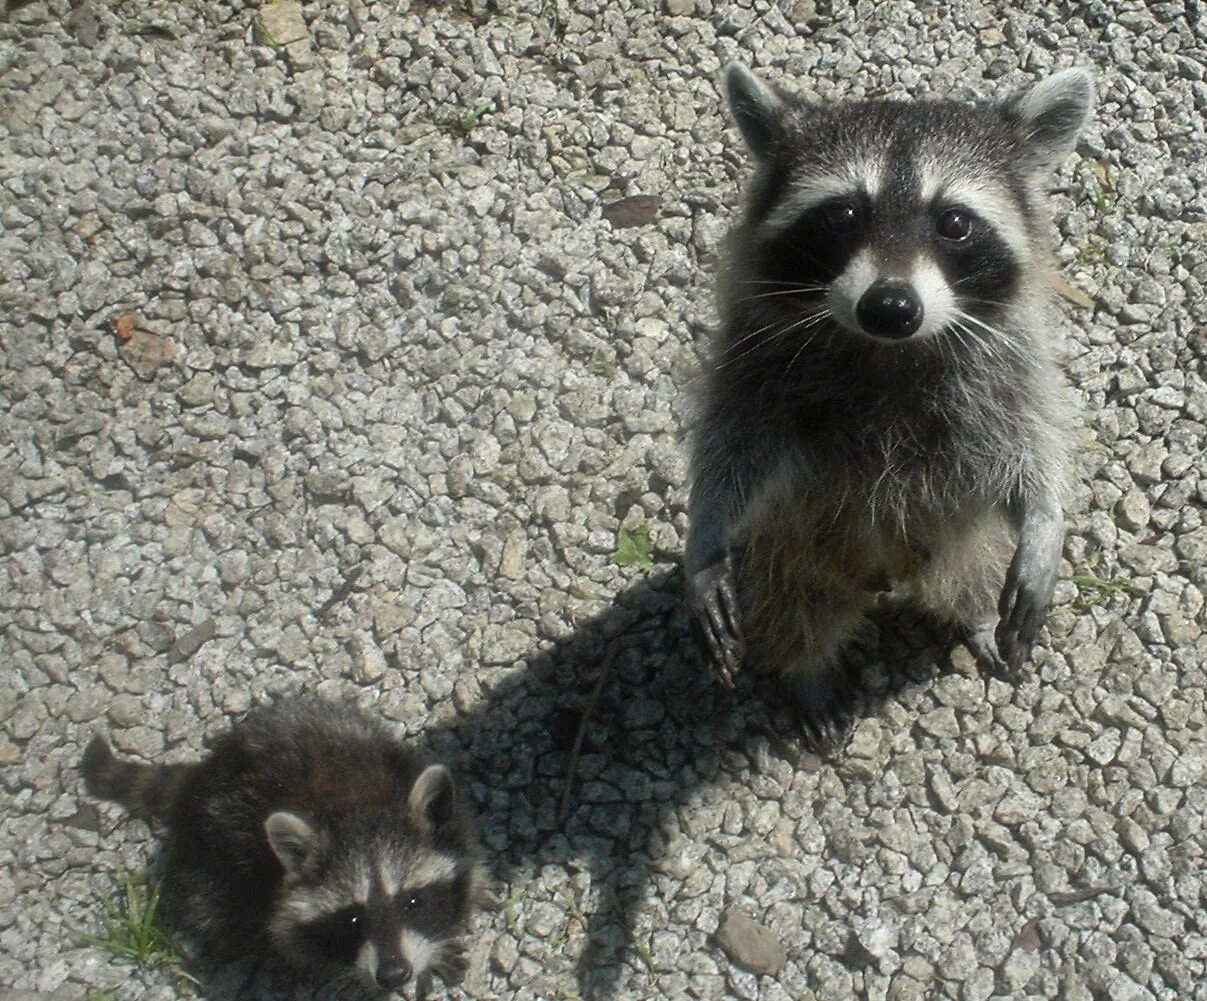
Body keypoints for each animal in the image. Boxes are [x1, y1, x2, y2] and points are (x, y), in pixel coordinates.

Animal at [80, 700, 487, 994]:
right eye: (352, 919)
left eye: (412, 902)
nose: (393, 975)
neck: (351, 806)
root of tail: (205, 772)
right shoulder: (278, 902)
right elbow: (289, 940)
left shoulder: (457, 825)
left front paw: (435, 945)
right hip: (211, 865)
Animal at [690, 60, 1095, 743]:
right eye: (843, 214)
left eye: (953, 222)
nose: (889, 306)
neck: (887, 351)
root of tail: (885, 580)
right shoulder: (755, 358)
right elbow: (731, 443)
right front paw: (705, 527)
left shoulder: (1008, 365)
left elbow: (1029, 443)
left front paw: (1046, 519)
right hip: (791, 548)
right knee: (794, 602)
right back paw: (806, 670)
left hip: (963, 543)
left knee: (975, 574)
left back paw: (976, 618)